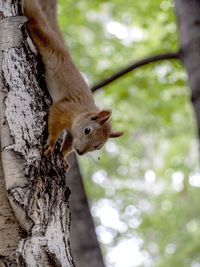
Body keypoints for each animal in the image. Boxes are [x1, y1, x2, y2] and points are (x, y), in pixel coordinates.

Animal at [23, 0, 123, 172]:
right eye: (87, 130)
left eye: (98, 146)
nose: (81, 152)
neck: (81, 113)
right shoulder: (66, 107)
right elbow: (55, 119)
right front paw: (51, 142)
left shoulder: (71, 133)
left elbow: (68, 144)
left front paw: (63, 157)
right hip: (46, 38)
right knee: (35, 23)